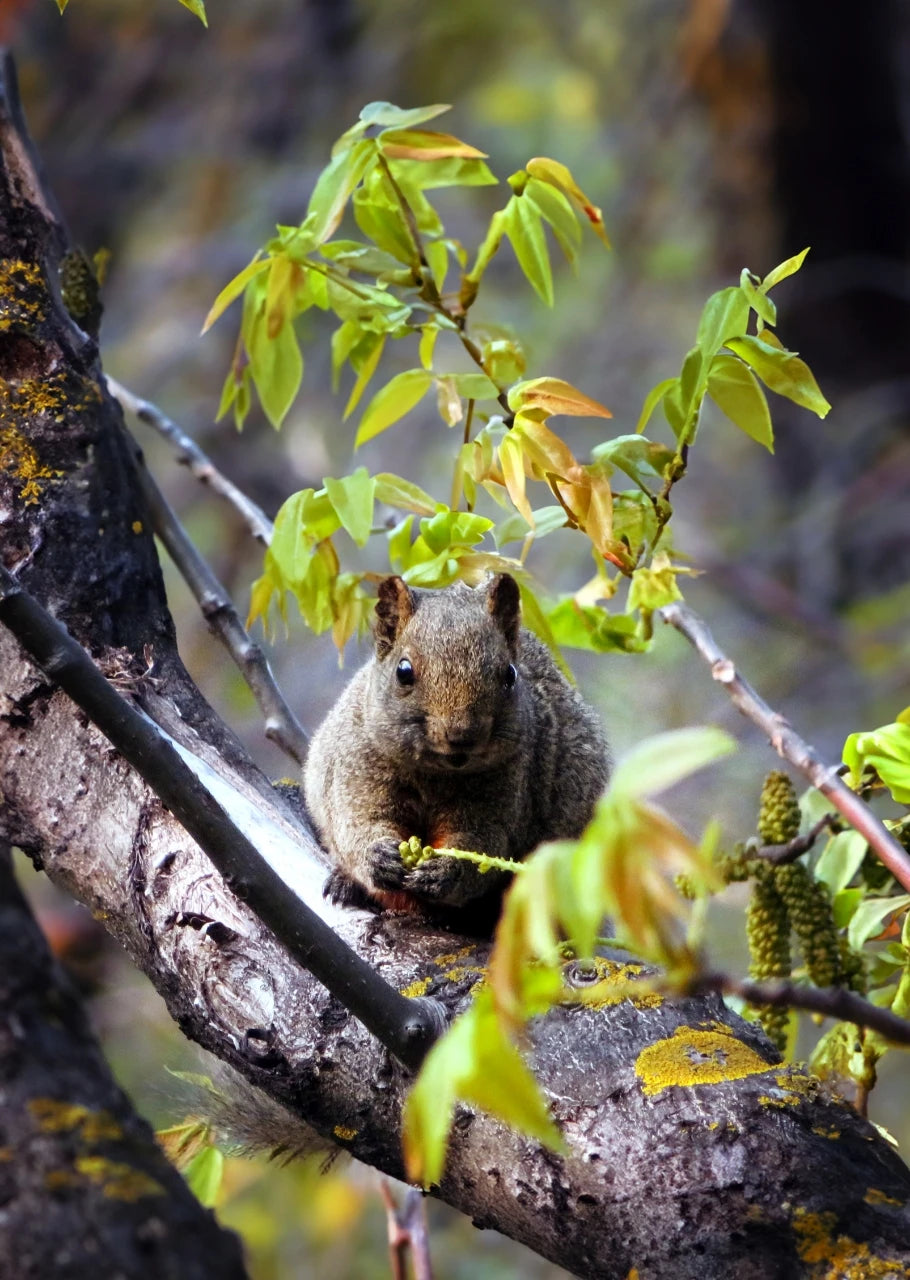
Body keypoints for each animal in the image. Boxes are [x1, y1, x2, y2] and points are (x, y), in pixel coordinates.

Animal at [304, 573, 611, 931]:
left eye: (510, 674)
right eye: (403, 671)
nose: (462, 735)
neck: (436, 774)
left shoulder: (505, 793)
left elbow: (482, 843)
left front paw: (443, 873)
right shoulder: (357, 768)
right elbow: (359, 821)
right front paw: (377, 856)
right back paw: (345, 884)